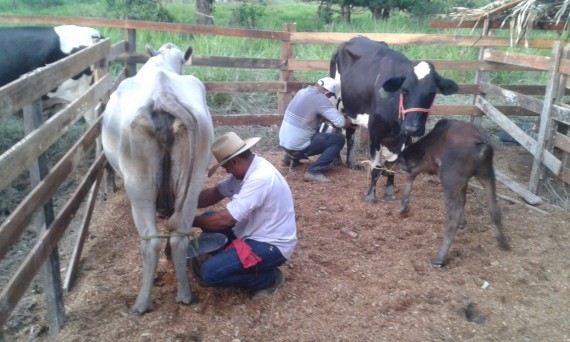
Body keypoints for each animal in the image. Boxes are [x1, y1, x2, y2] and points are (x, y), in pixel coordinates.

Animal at [101, 42, 214, 316]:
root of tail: (163, 95)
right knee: (178, 234)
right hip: (192, 181)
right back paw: (184, 293)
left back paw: (142, 302)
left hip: (138, 184)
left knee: (149, 242)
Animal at [328, 35, 458, 203]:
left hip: (352, 108)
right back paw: (337, 159)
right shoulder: (375, 133)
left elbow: (392, 166)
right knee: (336, 128)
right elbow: (376, 168)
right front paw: (370, 195)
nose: (413, 127)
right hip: (336, 102)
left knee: (350, 134)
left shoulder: (404, 138)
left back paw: (350, 163)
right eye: (404, 90)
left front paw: (389, 191)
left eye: (432, 92)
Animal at [394, 119, 510, 266]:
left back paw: (440, 258)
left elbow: (412, 174)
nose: (398, 166)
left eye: (400, 160)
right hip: (487, 174)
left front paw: (404, 206)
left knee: (452, 218)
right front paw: (463, 222)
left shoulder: (430, 163)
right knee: (494, 208)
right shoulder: (463, 181)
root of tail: (481, 144)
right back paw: (503, 242)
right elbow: (463, 199)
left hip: (449, 178)